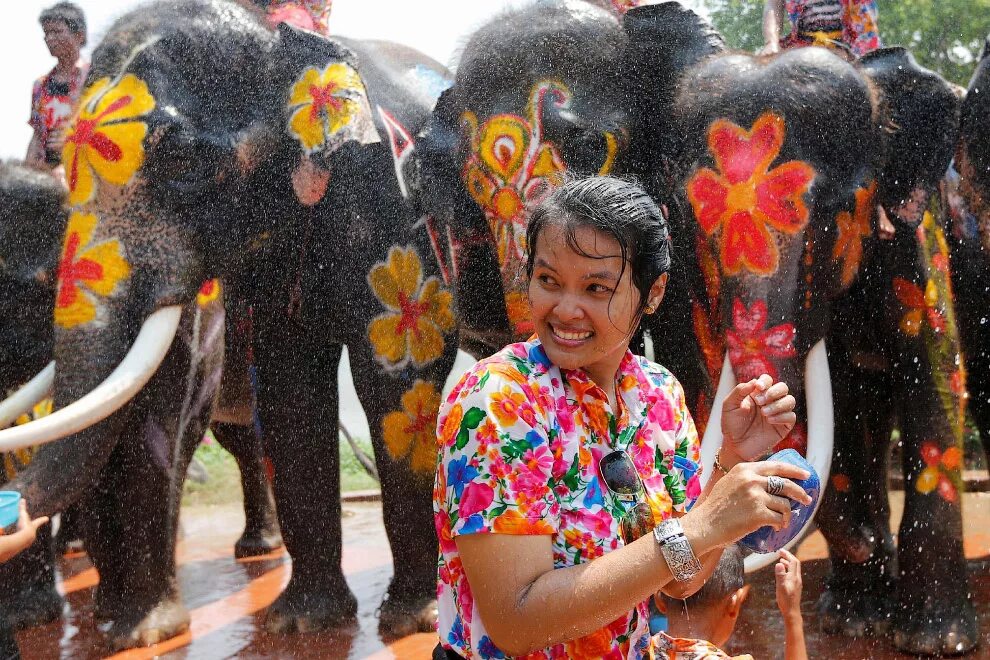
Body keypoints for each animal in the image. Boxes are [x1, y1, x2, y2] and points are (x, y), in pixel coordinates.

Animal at [0, 0, 454, 648]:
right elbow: (289, 385)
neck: (275, 38)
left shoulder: (397, 205)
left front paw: (410, 622)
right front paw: (301, 621)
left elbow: (397, 378)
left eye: (184, 161)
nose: (8, 516)